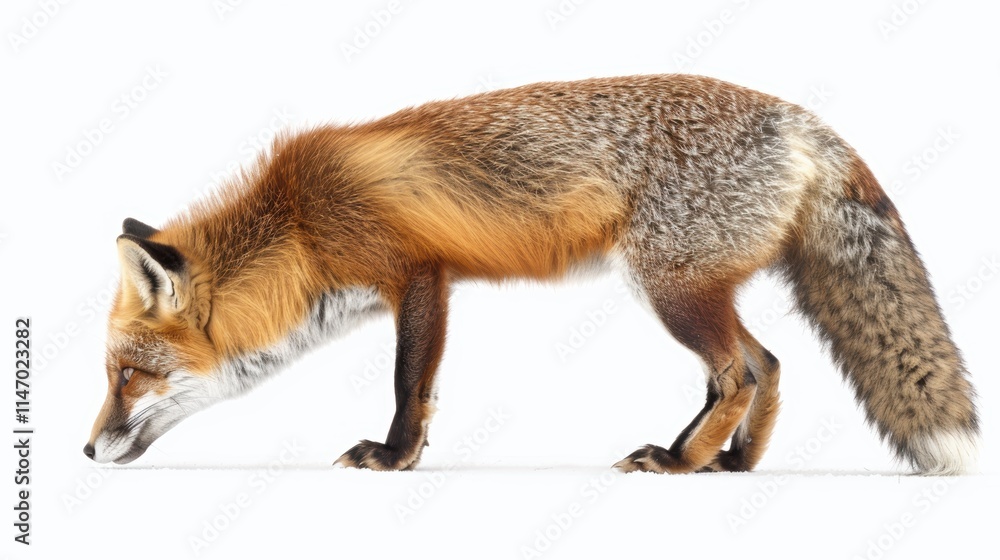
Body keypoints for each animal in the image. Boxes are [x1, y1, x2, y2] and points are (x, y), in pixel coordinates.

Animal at [84, 74, 979, 474]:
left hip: (671, 292)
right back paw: (728, 463)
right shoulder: (425, 281)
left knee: (738, 373)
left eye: (129, 376)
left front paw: (394, 458)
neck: (299, 222)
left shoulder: (419, 274)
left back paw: (678, 464)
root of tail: (801, 120)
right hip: (697, 288)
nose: (87, 451)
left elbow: (410, 384)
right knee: (772, 363)